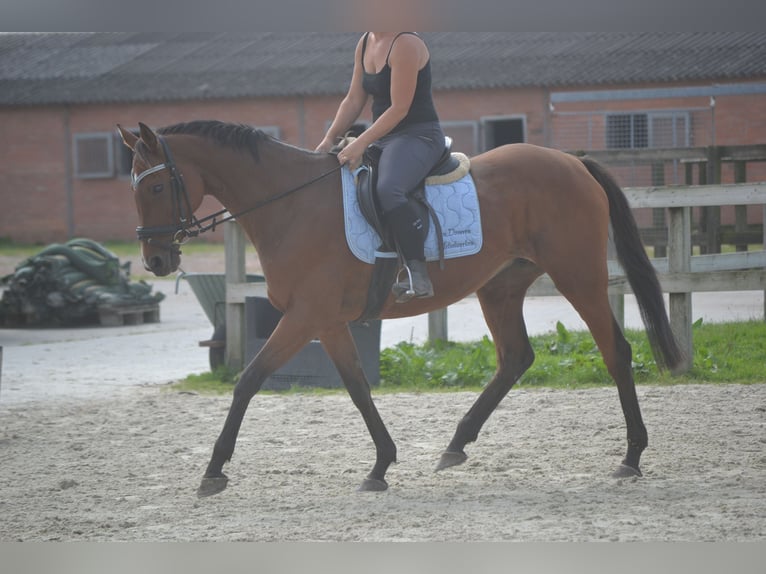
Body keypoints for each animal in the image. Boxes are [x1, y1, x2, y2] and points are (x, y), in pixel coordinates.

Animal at [118, 122, 684, 500]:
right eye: (136, 188)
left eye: (157, 185)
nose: (155, 260)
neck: (291, 204)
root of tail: (572, 162)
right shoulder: (327, 322)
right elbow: (357, 388)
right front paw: (381, 466)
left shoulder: (305, 317)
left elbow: (248, 381)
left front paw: (213, 470)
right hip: (500, 287)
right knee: (516, 358)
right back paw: (455, 444)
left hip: (577, 276)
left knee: (616, 351)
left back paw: (632, 456)